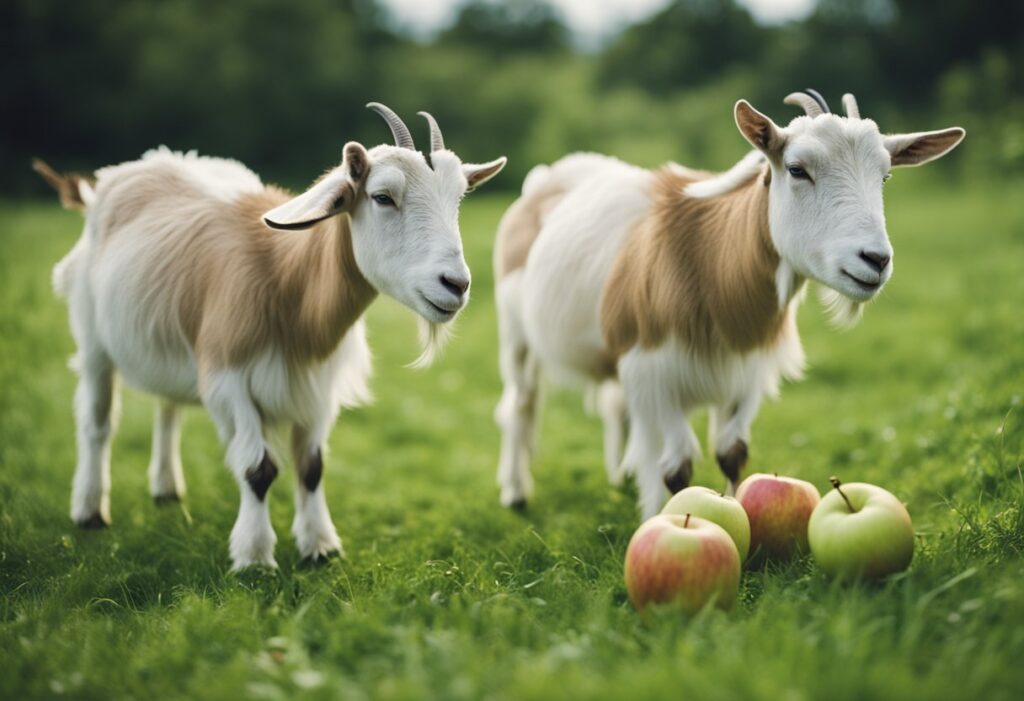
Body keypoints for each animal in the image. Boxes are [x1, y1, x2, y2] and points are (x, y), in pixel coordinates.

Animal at [39, 103, 506, 569]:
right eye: (382, 197)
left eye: (458, 199)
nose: (455, 284)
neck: (286, 280)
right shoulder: (228, 379)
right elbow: (259, 469)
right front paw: (254, 557)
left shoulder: (317, 386)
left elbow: (312, 468)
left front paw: (320, 546)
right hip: (93, 339)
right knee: (98, 422)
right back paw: (90, 512)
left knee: (167, 408)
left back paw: (167, 490)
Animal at [493, 90, 963, 519]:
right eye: (797, 169)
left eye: (885, 177)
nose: (875, 260)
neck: (709, 260)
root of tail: (544, 179)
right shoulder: (653, 372)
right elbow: (676, 468)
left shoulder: (745, 369)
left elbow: (731, 452)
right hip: (515, 332)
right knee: (521, 402)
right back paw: (516, 492)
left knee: (613, 409)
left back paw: (621, 478)